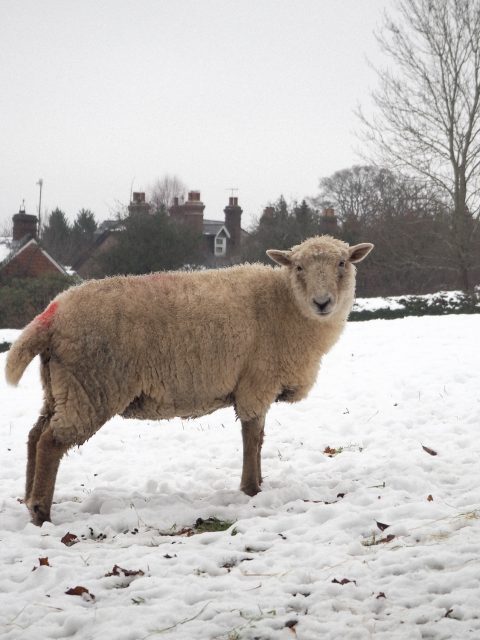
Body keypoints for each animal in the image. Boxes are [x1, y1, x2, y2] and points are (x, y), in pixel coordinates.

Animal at [5, 235, 374, 524]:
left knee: (34, 436)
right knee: (50, 443)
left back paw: (28, 499)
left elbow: (257, 438)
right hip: (91, 386)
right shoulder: (256, 382)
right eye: (298, 267)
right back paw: (41, 511)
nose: (322, 302)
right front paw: (251, 489)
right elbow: (253, 438)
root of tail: (50, 315)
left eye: (342, 263)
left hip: (61, 387)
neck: (286, 305)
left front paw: (255, 485)